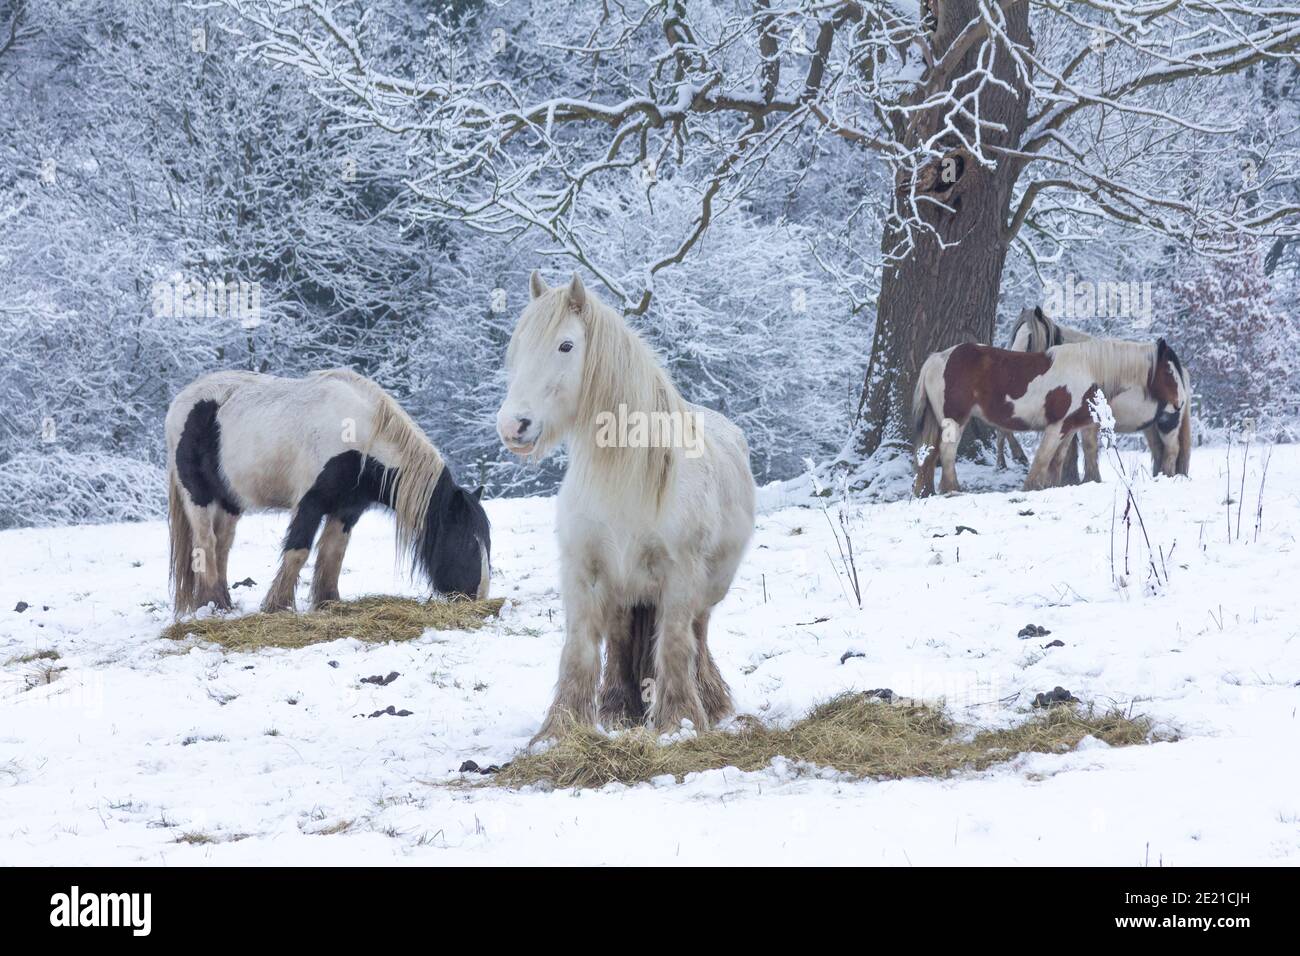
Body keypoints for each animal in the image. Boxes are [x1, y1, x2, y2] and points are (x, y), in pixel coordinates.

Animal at [162, 369, 488, 616]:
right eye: (466, 542)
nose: (480, 594)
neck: (360, 441)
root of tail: (180, 401)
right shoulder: (310, 503)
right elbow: (298, 550)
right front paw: (278, 605)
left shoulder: (348, 510)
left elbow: (334, 553)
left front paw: (328, 601)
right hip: (197, 495)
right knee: (205, 543)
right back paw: (212, 604)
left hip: (230, 500)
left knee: (222, 544)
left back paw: (224, 603)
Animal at [499, 273, 759, 738]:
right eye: (519, 344)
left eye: (566, 345)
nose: (513, 425)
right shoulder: (583, 570)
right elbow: (579, 650)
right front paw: (561, 729)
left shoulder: (680, 576)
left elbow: (674, 645)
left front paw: (680, 722)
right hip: (626, 590)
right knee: (621, 640)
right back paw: (619, 709)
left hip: (708, 587)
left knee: (697, 634)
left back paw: (710, 703)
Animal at [915, 338, 1190, 502]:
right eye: (1168, 370)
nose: (1180, 403)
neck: (1088, 369)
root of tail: (938, 357)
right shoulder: (1056, 426)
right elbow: (1043, 459)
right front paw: (1030, 488)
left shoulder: (1068, 428)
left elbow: (1056, 461)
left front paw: (1051, 487)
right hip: (955, 420)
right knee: (947, 453)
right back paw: (952, 490)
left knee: (930, 453)